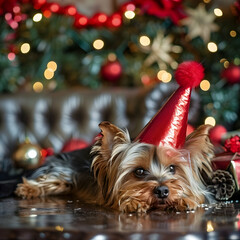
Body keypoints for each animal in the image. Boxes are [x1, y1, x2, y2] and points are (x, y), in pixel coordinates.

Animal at [15, 121, 214, 213]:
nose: (163, 191)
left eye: (172, 168)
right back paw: (27, 189)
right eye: (139, 171)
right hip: (64, 173)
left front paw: (185, 200)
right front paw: (133, 202)